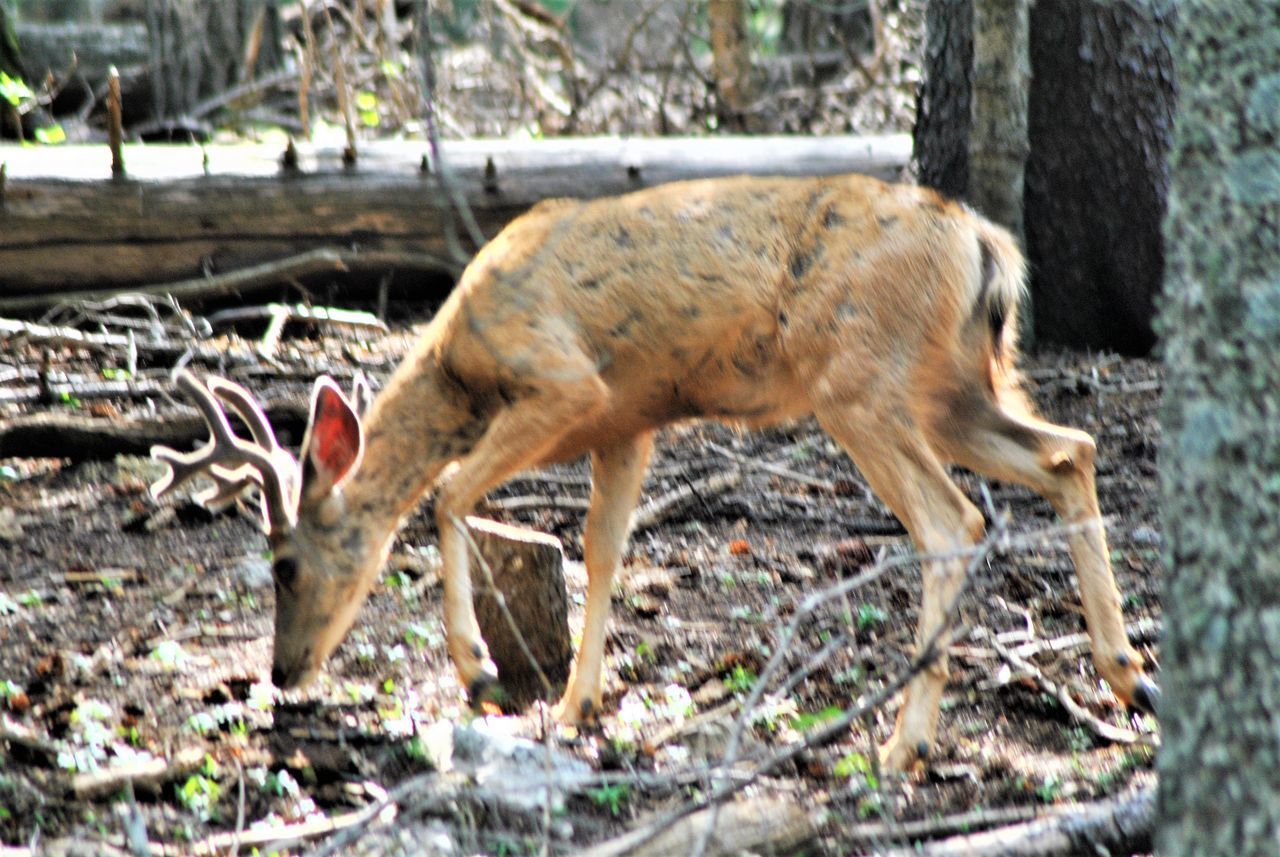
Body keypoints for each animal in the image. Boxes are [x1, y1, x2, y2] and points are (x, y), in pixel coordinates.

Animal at [152, 171, 1162, 777]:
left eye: (284, 564)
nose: (282, 672)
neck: (459, 359)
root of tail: (984, 245)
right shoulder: (629, 420)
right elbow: (602, 547)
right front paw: (578, 701)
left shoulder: (569, 380)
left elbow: (447, 493)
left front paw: (480, 671)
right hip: (955, 382)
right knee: (1069, 449)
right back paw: (1127, 675)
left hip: (860, 379)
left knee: (954, 521)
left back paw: (901, 745)